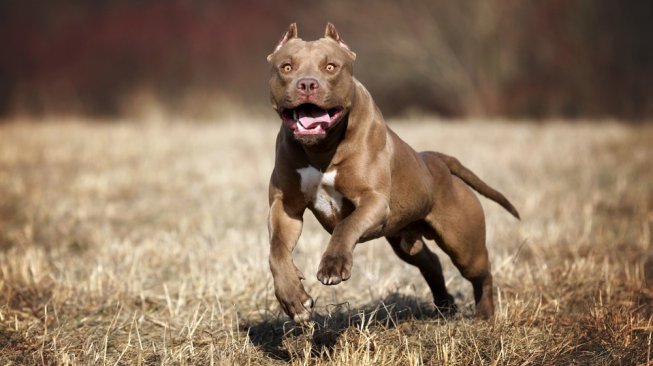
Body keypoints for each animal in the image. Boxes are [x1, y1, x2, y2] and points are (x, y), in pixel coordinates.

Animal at [264, 22, 520, 324]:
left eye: (330, 67)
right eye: (286, 67)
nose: (306, 83)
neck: (321, 149)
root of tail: (435, 160)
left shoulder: (373, 201)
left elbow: (345, 224)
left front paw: (333, 265)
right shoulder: (285, 207)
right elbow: (277, 251)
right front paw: (293, 298)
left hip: (464, 246)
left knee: (482, 272)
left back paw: (485, 314)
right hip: (405, 241)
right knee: (430, 262)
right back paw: (445, 306)